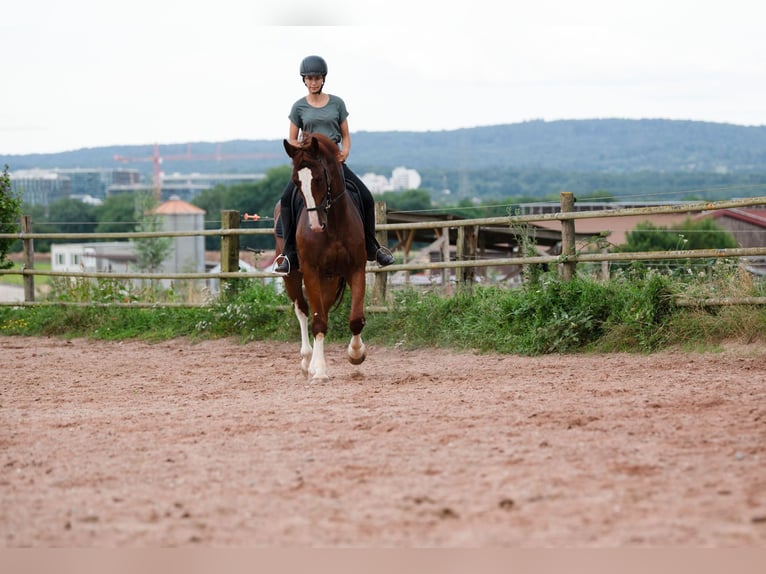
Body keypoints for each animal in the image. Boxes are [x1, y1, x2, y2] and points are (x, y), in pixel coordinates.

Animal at [274, 132, 370, 380]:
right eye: (297, 182)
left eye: (318, 179)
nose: (316, 226)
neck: (333, 225)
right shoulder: (311, 271)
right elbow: (317, 321)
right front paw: (318, 370)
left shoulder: (356, 269)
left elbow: (356, 319)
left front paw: (356, 354)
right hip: (292, 277)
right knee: (303, 310)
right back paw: (308, 360)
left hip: (330, 277)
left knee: (323, 310)